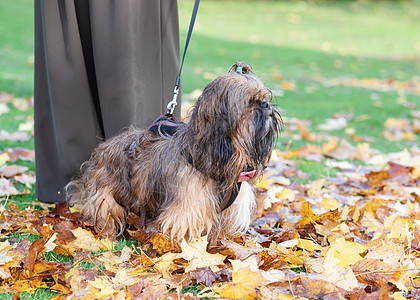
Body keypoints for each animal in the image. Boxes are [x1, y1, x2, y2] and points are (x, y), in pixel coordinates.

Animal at [66, 62, 278, 243]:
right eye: (250, 102)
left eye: (265, 98)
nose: (267, 105)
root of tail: (103, 147)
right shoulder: (188, 209)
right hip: (106, 195)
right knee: (107, 214)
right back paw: (107, 237)